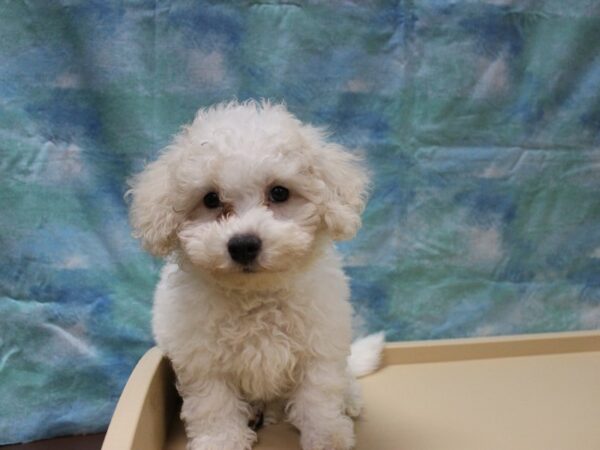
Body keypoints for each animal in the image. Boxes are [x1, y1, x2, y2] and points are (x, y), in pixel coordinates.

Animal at [129, 100, 386, 448]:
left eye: (279, 193)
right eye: (211, 199)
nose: (243, 245)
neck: (256, 296)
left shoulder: (320, 344)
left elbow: (319, 395)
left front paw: (327, 436)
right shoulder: (202, 359)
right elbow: (213, 403)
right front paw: (221, 440)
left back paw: (348, 399)